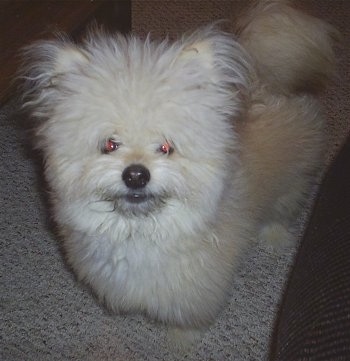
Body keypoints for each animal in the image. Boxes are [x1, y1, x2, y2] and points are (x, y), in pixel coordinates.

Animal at [19, 0, 336, 346]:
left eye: (166, 146)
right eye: (110, 144)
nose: (136, 175)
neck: (141, 231)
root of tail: (266, 77)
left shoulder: (196, 289)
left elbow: (188, 317)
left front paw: (181, 339)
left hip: (292, 180)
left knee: (286, 204)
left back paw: (275, 235)